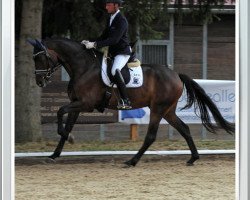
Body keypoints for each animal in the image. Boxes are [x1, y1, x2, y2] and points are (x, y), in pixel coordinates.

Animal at [27, 38, 234, 166]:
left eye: (41, 57)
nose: (40, 81)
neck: (83, 67)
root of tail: (175, 74)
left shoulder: (86, 103)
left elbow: (60, 111)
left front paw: (69, 139)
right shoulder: (77, 104)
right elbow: (67, 123)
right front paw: (55, 153)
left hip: (158, 109)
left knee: (151, 136)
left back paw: (132, 161)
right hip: (168, 110)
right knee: (184, 128)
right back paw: (193, 158)